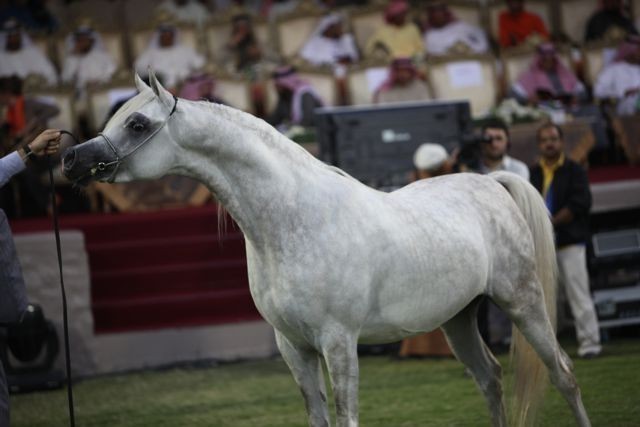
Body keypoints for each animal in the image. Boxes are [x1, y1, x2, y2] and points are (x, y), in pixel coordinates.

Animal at [62, 71, 591, 427]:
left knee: (564, 374)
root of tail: (490, 181)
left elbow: (346, 415)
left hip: (523, 301)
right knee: (491, 379)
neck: (295, 220)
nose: (70, 159)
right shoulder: (293, 347)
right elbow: (317, 416)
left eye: (136, 122)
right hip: (459, 319)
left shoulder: (338, 341)